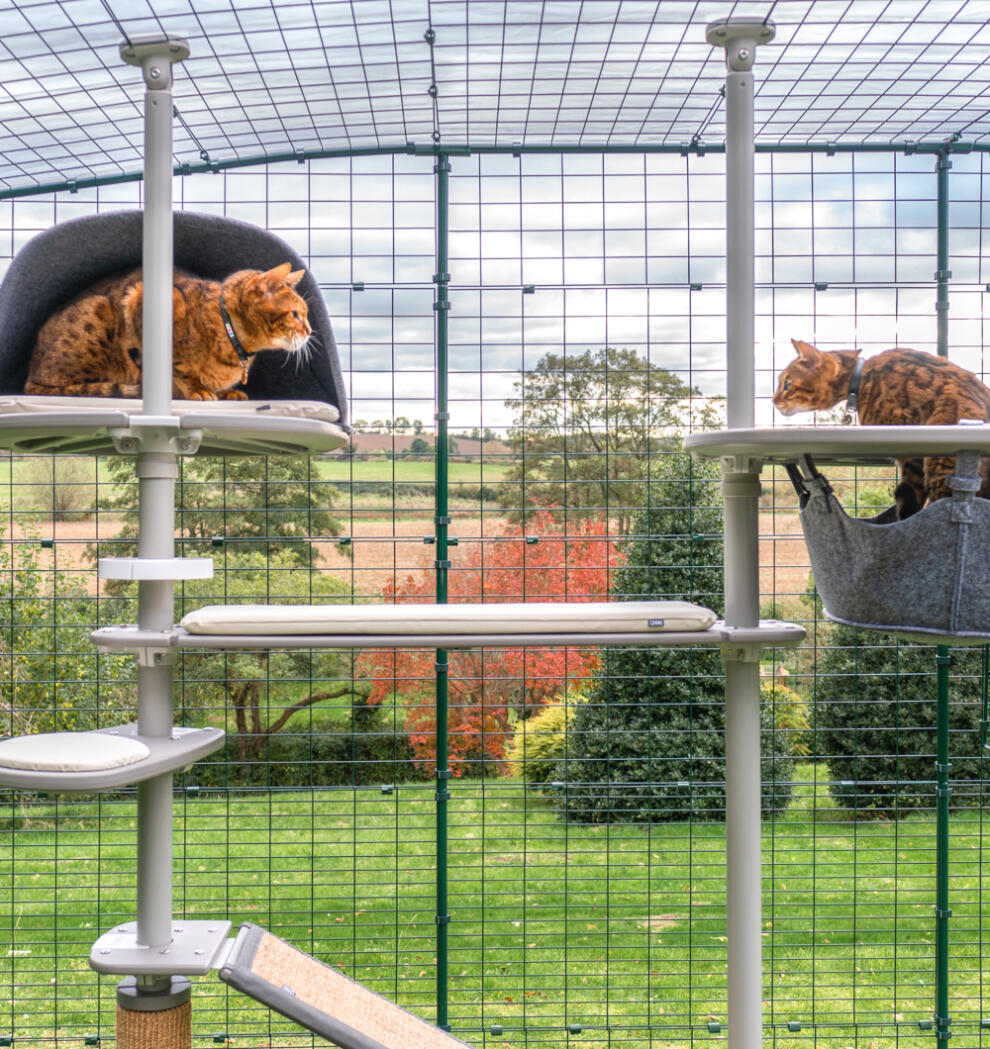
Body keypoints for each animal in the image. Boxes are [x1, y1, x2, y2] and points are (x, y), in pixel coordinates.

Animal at [25, 264, 310, 402]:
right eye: (295, 314)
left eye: (305, 314)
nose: (309, 331)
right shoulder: (139, 299)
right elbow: (180, 368)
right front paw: (198, 389)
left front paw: (225, 392)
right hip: (97, 315)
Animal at [771, 339, 990, 520]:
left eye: (787, 385)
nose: (773, 400)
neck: (861, 378)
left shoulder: (910, 454)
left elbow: (910, 500)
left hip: (939, 466)